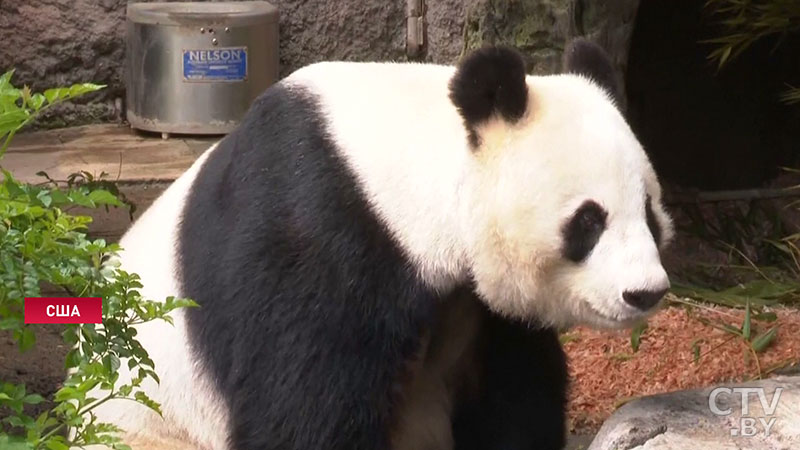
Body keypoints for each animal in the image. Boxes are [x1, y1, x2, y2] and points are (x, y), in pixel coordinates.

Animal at [90, 38, 672, 450]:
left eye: (649, 212)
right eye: (588, 221)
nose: (644, 292)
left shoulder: (479, 310)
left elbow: (515, 396)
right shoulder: (319, 229)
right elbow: (304, 408)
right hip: (143, 424)